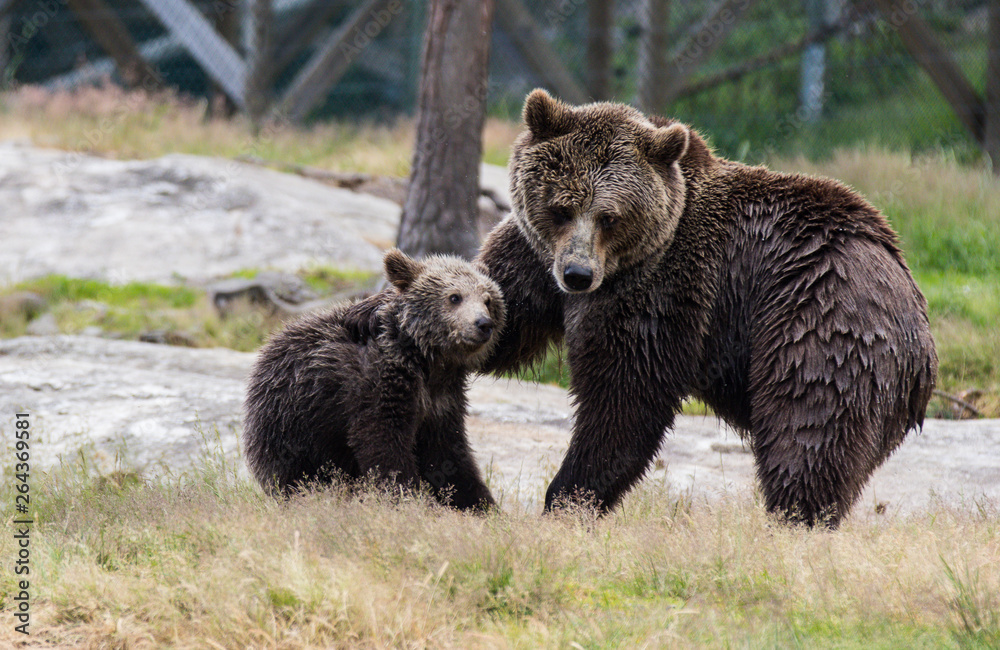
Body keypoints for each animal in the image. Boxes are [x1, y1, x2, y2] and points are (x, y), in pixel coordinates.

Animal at [478, 90, 936, 528]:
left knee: (809, 427)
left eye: (610, 217)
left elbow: (625, 398)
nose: (577, 274)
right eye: (561, 207)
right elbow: (503, 320)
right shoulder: (534, 259)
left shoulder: (663, 289)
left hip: (820, 322)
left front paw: (569, 499)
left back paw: (793, 521)